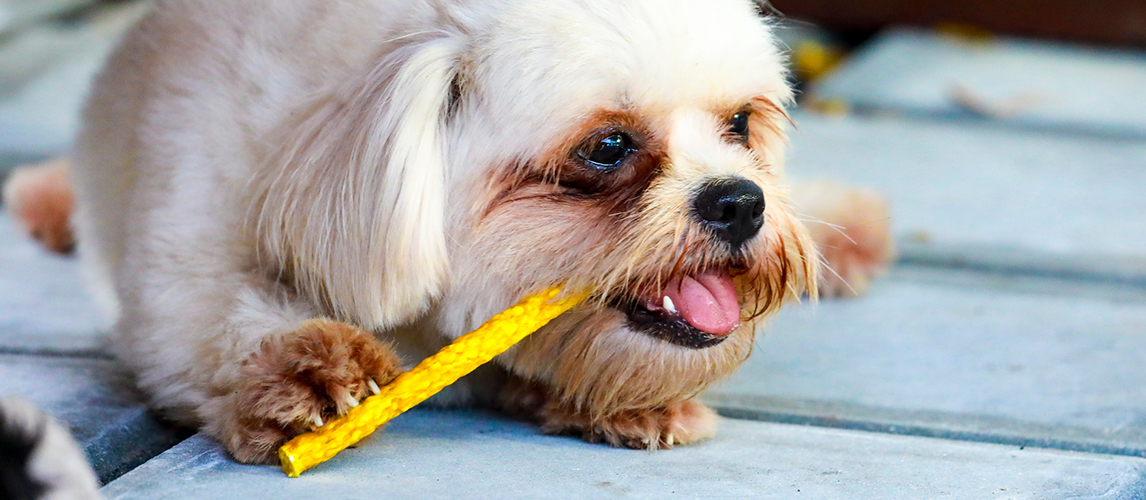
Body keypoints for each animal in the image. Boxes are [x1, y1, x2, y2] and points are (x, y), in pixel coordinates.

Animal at [2, 0, 893, 465]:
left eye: (741, 124)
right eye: (607, 147)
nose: (741, 201)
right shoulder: (182, 250)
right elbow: (210, 322)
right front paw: (309, 374)